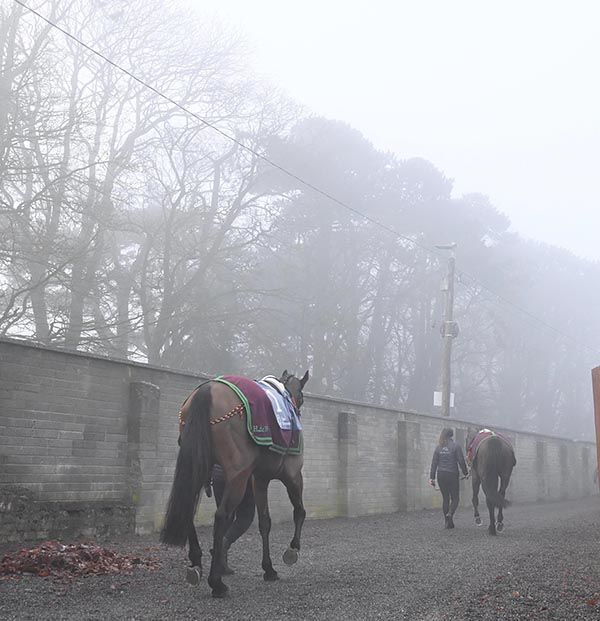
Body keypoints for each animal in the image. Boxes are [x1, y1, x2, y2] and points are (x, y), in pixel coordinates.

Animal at [159, 368, 310, 596]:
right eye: (300, 397)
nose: (298, 411)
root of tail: (207, 389)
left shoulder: (260, 479)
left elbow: (265, 522)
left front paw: (268, 569)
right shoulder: (292, 475)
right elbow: (299, 512)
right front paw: (292, 550)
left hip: (199, 466)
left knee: (190, 509)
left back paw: (196, 563)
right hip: (238, 477)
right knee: (222, 516)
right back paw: (216, 582)